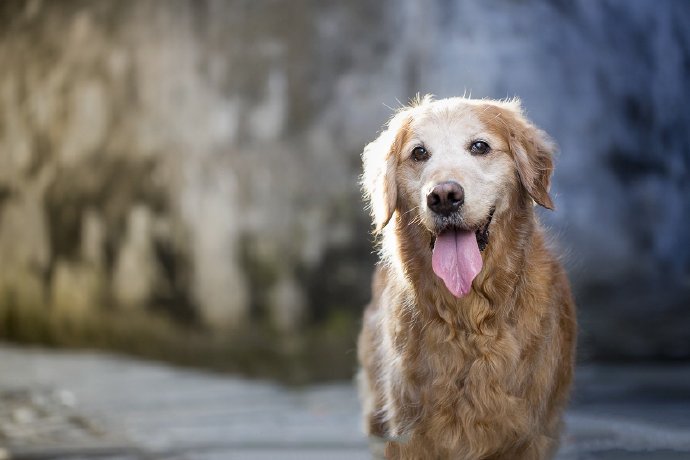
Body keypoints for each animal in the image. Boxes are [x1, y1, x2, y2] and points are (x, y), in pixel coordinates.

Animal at [358, 95, 572, 458]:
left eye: (480, 146)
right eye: (419, 153)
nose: (444, 196)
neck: (468, 317)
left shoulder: (532, 435)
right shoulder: (408, 434)